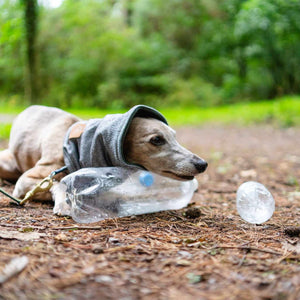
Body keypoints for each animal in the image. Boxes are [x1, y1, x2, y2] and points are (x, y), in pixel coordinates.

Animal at [0, 105, 207, 213]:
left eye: (174, 136)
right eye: (156, 139)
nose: (202, 164)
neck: (76, 149)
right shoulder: (28, 180)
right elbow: (57, 184)